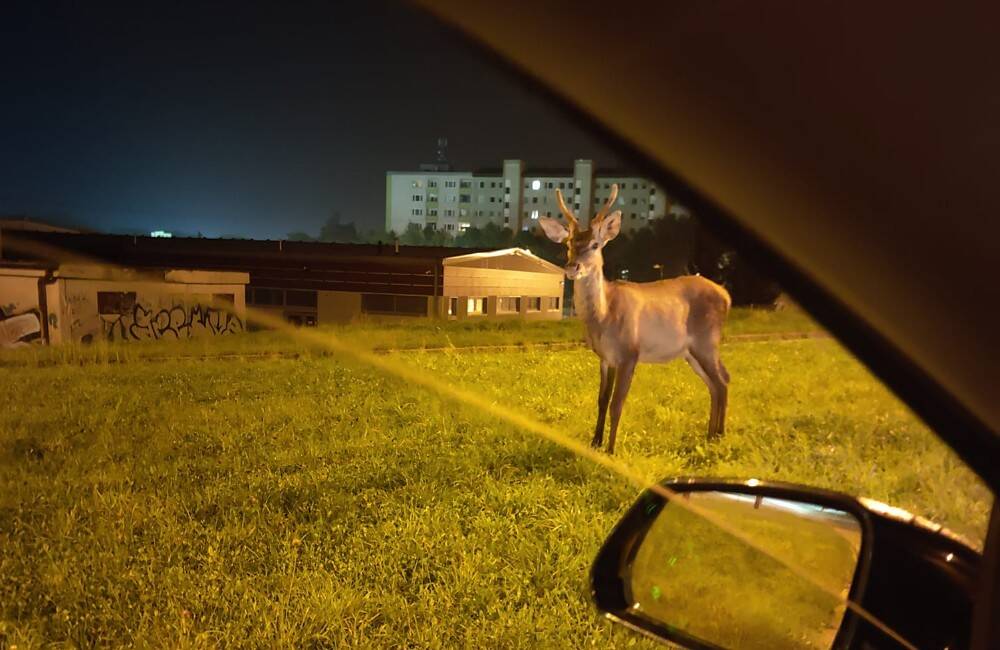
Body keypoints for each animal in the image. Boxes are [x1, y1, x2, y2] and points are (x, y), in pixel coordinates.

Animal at [540, 184, 736, 450]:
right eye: (569, 243)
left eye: (595, 244)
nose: (572, 267)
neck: (604, 317)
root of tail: (727, 296)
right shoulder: (606, 358)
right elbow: (602, 400)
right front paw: (595, 442)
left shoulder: (629, 353)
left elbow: (617, 403)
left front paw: (611, 449)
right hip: (691, 352)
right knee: (714, 384)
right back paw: (710, 435)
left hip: (706, 341)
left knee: (723, 380)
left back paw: (720, 435)